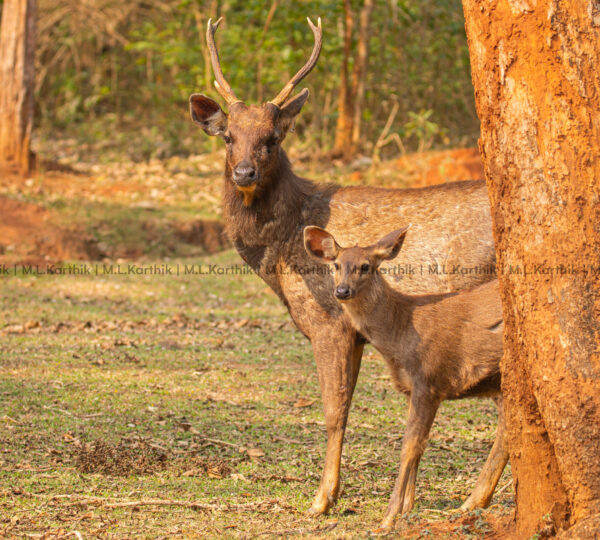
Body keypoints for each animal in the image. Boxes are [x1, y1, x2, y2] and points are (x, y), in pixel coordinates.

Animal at [304, 225, 506, 532]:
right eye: (336, 265)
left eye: (366, 266)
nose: (342, 291)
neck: (400, 337)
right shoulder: (414, 389)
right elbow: (420, 446)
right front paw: (407, 509)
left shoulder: (430, 379)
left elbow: (408, 447)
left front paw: (387, 519)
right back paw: (471, 504)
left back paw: (469, 504)